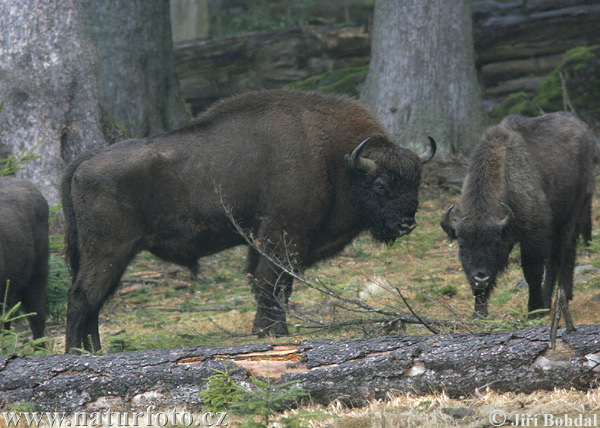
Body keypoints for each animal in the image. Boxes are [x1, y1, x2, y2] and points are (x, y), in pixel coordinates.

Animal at [62, 88, 436, 352]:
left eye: (417, 181)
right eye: (381, 185)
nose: (408, 224)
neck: (336, 160)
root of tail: (84, 161)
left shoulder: (264, 240)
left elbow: (269, 284)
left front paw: (268, 330)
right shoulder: (284, 235)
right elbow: (272, 283)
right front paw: (274, 331)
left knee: (94, 300)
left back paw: (94, 351)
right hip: (109, 251)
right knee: (82, 296)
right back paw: (75, 353)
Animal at [440, 112, 596, 320]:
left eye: (495, 243)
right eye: (461, 245)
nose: (481, 278)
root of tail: (586, 130)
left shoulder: (534, 234)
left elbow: (532, 272)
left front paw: (534, 311)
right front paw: (478, 313)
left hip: (570, 214)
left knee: (556, 258)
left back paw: (549, 303)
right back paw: (566, 295)